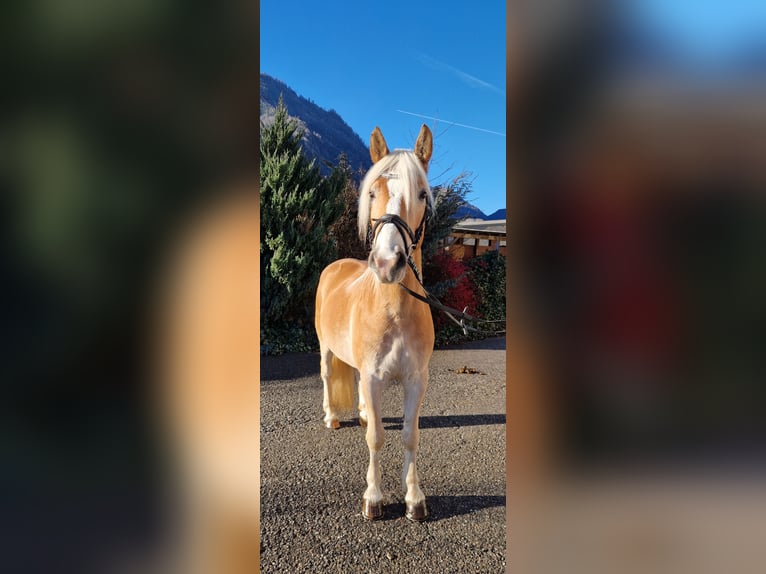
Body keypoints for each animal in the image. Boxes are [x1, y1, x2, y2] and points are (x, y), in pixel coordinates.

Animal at [316, 124, 438, 524]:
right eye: (372, 192)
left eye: (421, 193)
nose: (387, 264)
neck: (395, 309)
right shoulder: (373, 376)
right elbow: (377, 439)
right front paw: (373, 497)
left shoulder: (416, 379)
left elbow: (409, 435)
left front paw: (414, 498)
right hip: (326, 350)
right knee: (328, 377)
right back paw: (333, 417)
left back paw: (364, 414)